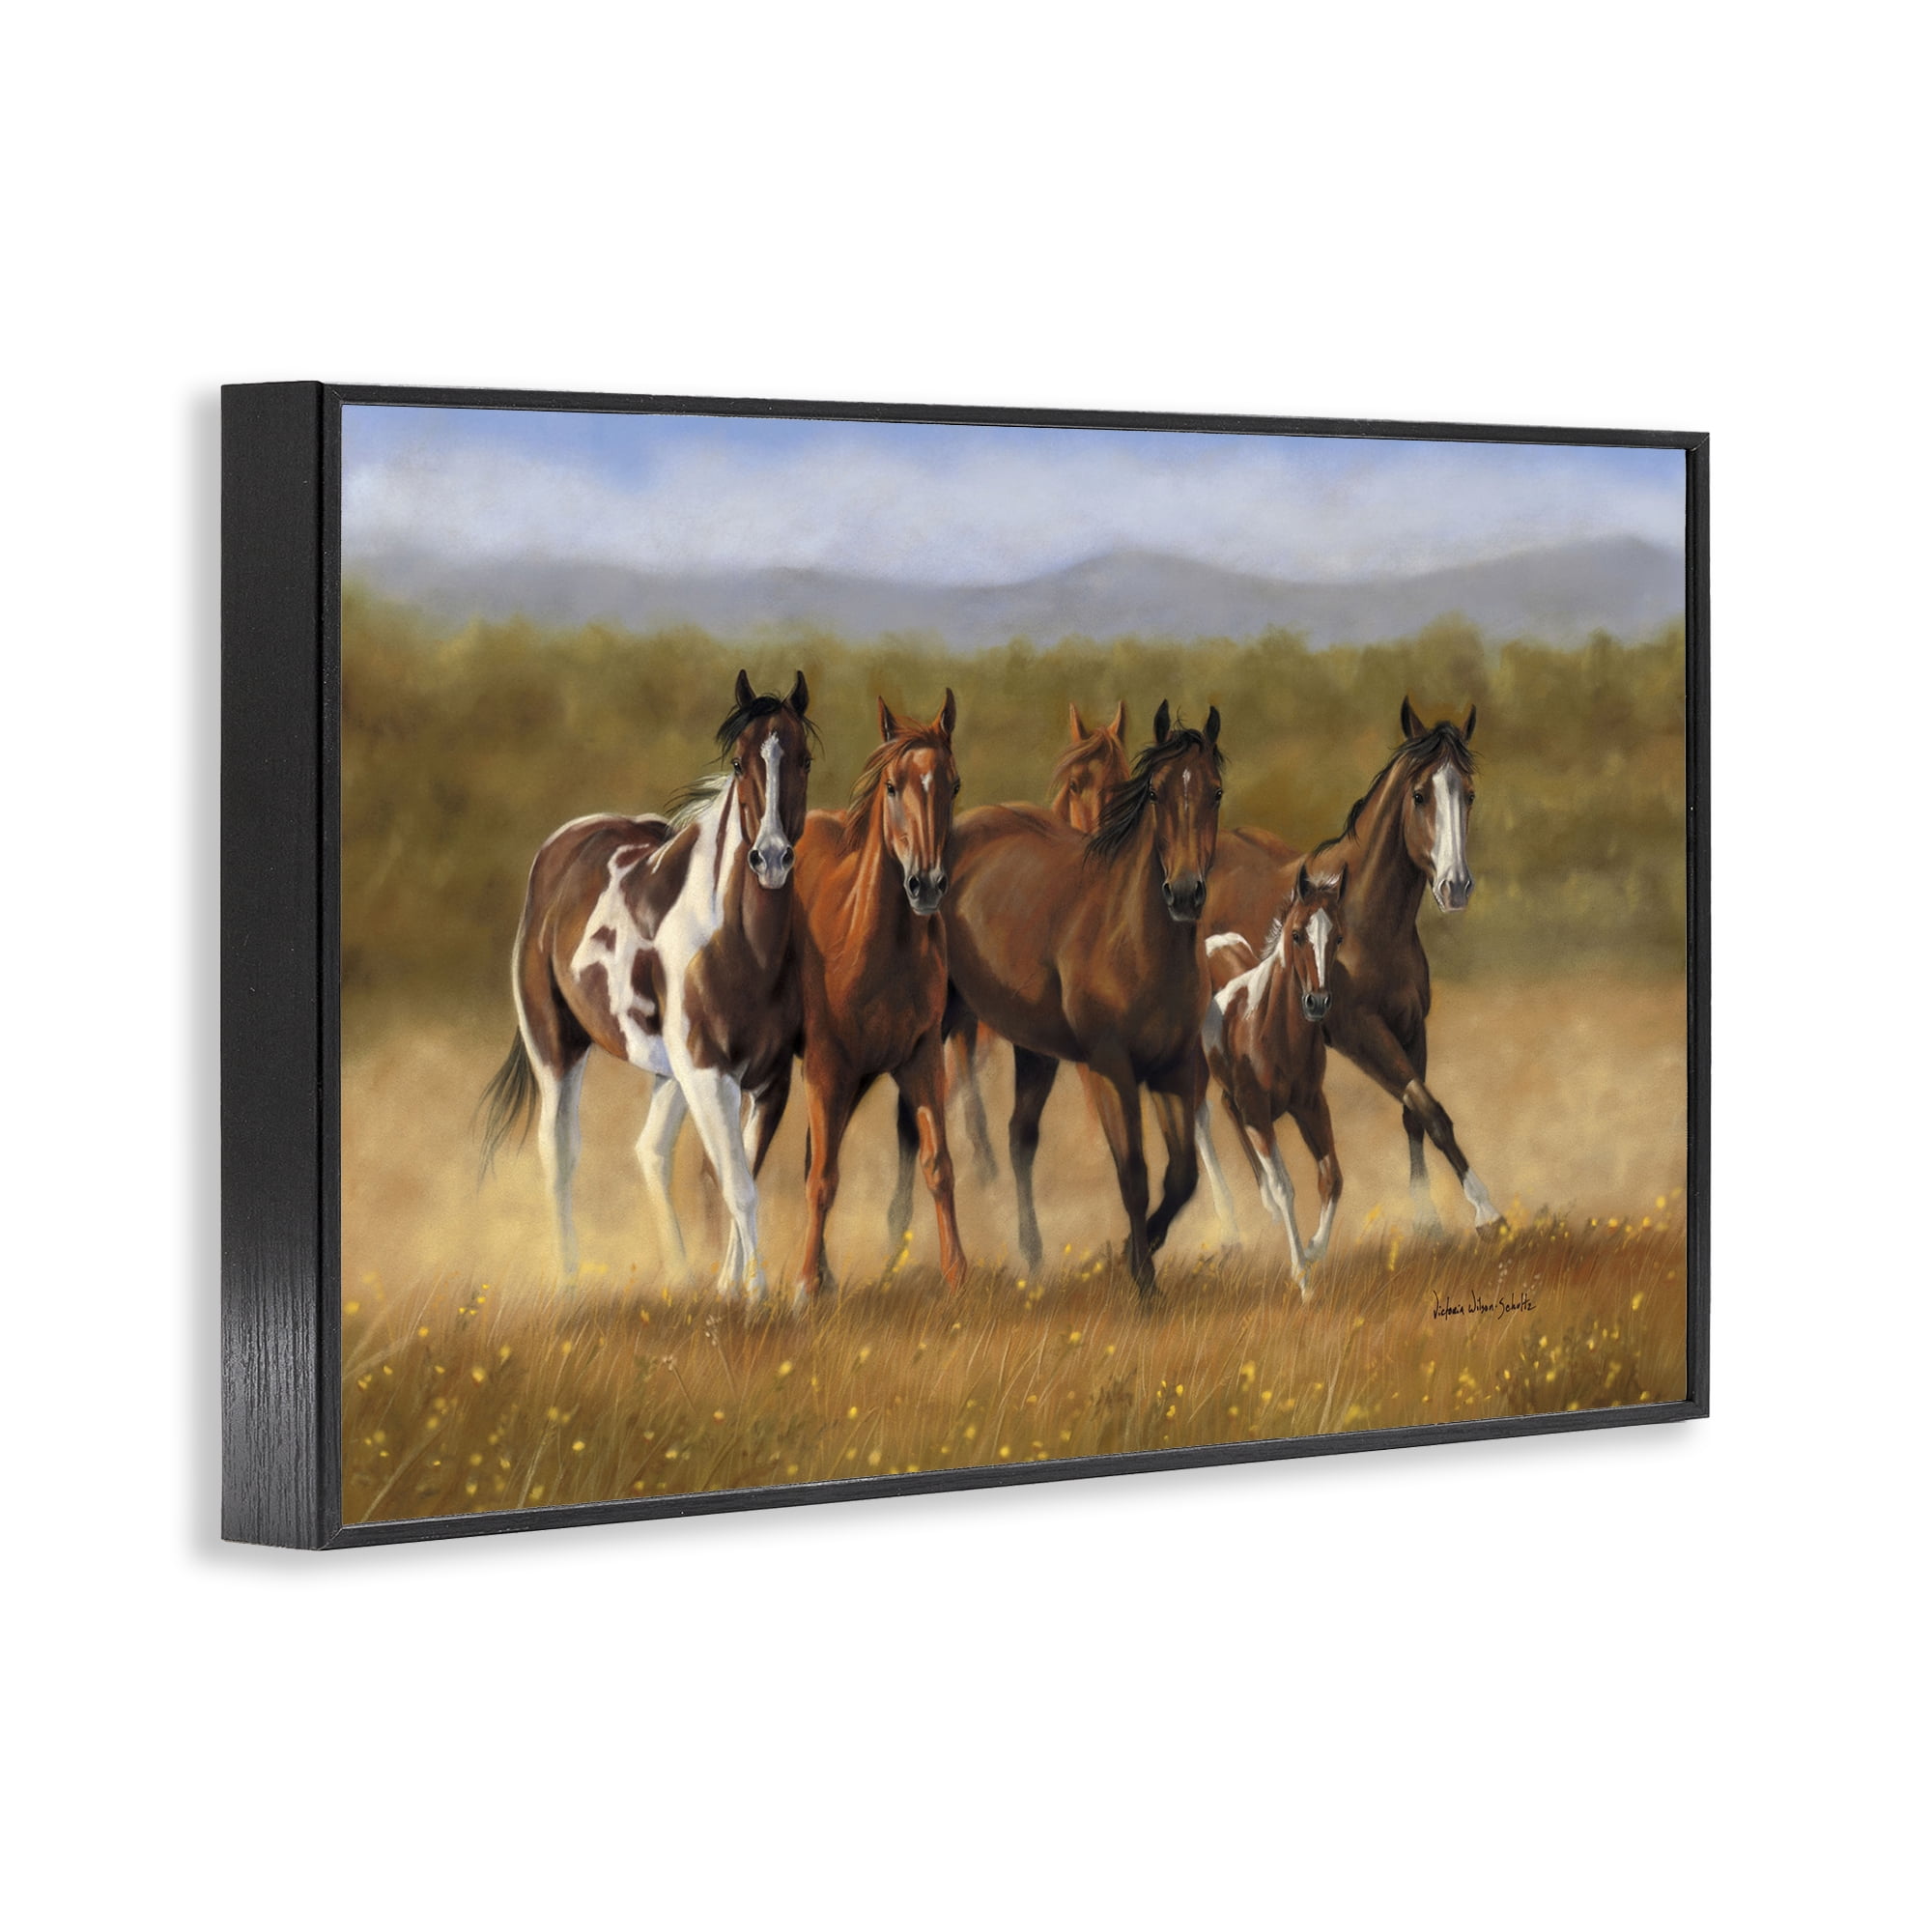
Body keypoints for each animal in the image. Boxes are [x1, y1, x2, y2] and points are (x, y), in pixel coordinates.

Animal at [478, 670, 813, 1299]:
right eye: (739, 762)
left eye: (804, 759)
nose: (772, 859)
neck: (738, 944)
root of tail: (563, 845)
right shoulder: (709, 1072)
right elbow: (738, 1186)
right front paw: (754, 1295)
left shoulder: (768, 1080)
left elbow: (740, 1176)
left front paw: (729, 1288)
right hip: (556, 1048)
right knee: (558, 1151)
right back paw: (568, 1280)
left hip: (668, 1074)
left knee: (651, 1152)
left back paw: (680, 1277)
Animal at [788, 690, 967, 1302]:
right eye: (892, 786)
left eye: (953, 785)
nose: (926, 884)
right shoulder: (825, 1068)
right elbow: (822, 1179)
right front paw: (804, 1288)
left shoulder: (921, 1061)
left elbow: (939, 1165)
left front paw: (958, 1274)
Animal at [912, 702, 1224, 1296]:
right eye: (1155, 792)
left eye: (1215, 791)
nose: (1185, 893)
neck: (1132, 936)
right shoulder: (1110, 1070)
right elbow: (1133, 1173)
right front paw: (1142, 1281)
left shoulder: (1176, 1069)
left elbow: (1182, 1176)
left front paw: (1132, 1250)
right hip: (937, 1029)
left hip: (1033, 1049)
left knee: (1019, 1136)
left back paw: (1032, 1254)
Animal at [1195, 864, 1348, 1295]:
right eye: (1297, 934)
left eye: (1338, 937)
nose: (1317, 1002)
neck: (1271, 1028)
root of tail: (1211, 942)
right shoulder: (1259, 1113)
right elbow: (1286, 1187)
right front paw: (1302, 1277)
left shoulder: (1311, 1105)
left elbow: (1332, 1178)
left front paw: (1313, 1249)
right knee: (1203, 1120)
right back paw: (1232, 1223)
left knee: (1227, 1110)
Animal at [1204, 696, 1501, 1232]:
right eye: (1420, 795)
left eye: (1468, 795)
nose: (1455, 887)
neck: (1366, 920)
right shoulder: (1361, 1032)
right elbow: (1431, 1109)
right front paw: (1485, 1210)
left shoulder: (1411, 1026)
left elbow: (1414, 1113)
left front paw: (1427, 1218)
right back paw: (1235, 1219)